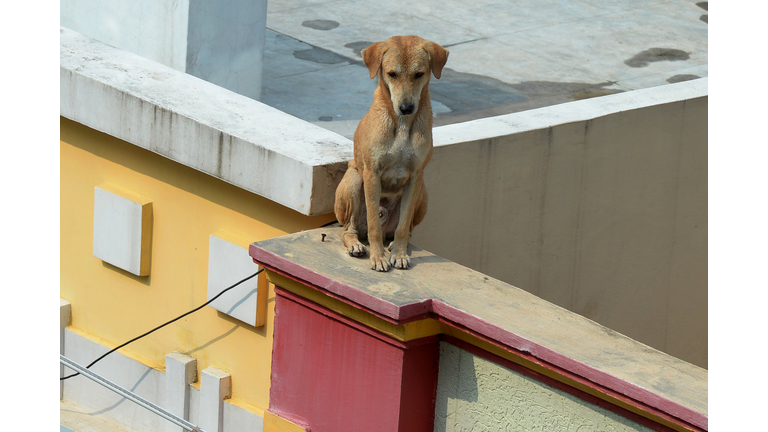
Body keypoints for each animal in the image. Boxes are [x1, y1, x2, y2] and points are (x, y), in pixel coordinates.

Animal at [332, 35, 448, 272]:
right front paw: (378, 258)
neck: (402, 124)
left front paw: (399, 254)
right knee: (349, 229)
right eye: (392, 74)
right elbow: (374, 227)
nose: (406, 107)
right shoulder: (371, 173)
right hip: (353, 180)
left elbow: (403, 227)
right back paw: (356, 245)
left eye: (419, 74)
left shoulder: (415, 176)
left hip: (422, 191)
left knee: (404, 229)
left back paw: (394, 245)